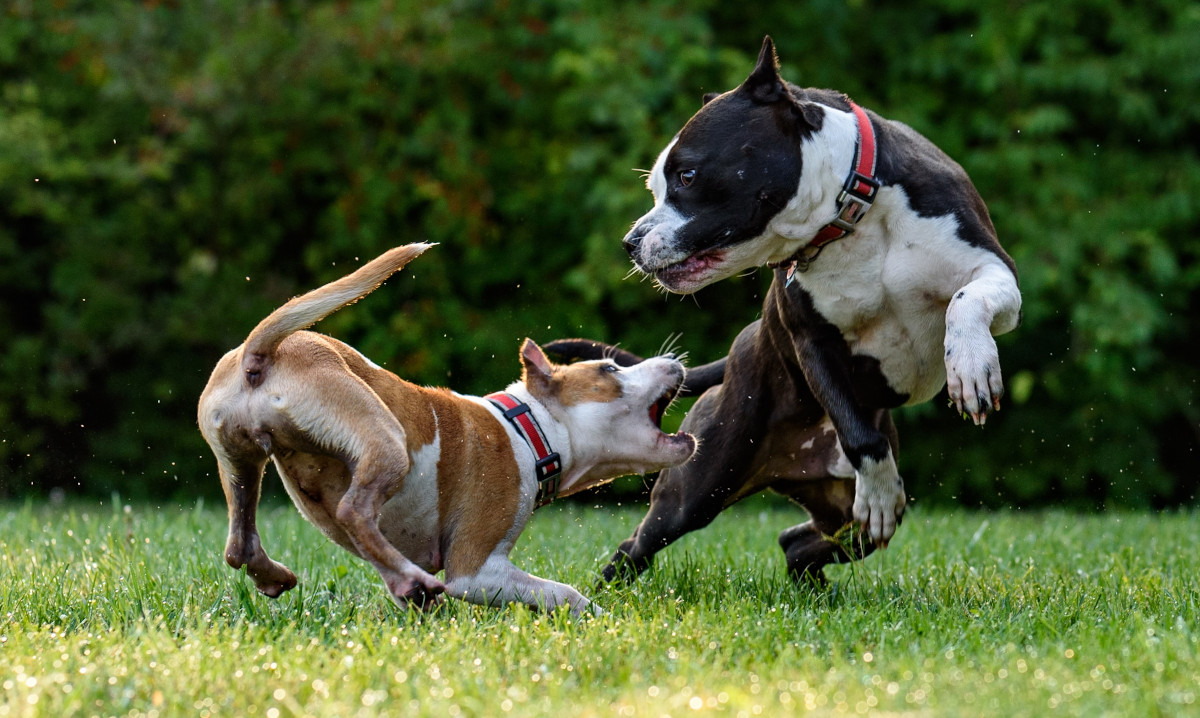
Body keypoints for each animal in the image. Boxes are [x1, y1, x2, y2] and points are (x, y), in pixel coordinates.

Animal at [196, 244, 696, 614]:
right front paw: (599, 620)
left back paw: (287, 576)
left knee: (240, 543)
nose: (674, 361)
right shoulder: (476, 570)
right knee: (353, 510)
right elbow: (565, 594)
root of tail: (259, 354)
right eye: (610, 369)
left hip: (240, 462)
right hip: (384, 438)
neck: (528, 427)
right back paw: (412, 579)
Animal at [549, 36, 1017, 585]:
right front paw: (880, 491)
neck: (850, 215)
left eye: (687, 175)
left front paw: (971, 366)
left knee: (801, 541)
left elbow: (967, 301)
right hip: (699, 485)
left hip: (838, 512)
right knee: (640, 543)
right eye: (657, 188)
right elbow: (859, 434)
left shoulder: (994, 269)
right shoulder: (811, 341)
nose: (630, 241)